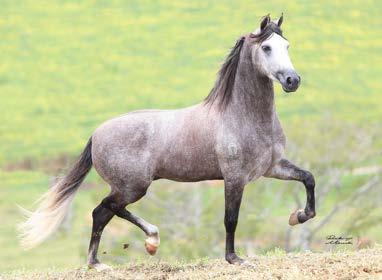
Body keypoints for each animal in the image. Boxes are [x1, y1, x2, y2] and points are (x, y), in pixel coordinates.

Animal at [18, 14, 316, 270]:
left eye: (286, 45)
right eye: (266, 47)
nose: (293, 80)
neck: (241, 115)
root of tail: (95, 135)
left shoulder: (271, 168)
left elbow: (308, 178)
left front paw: (298, 216)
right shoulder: (234, 177)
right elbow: (231, 218)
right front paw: (234, 258)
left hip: (129, 187)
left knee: (106, 212)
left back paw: (108, 258)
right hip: (133, 187)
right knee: (104, 209)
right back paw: (139, 245)